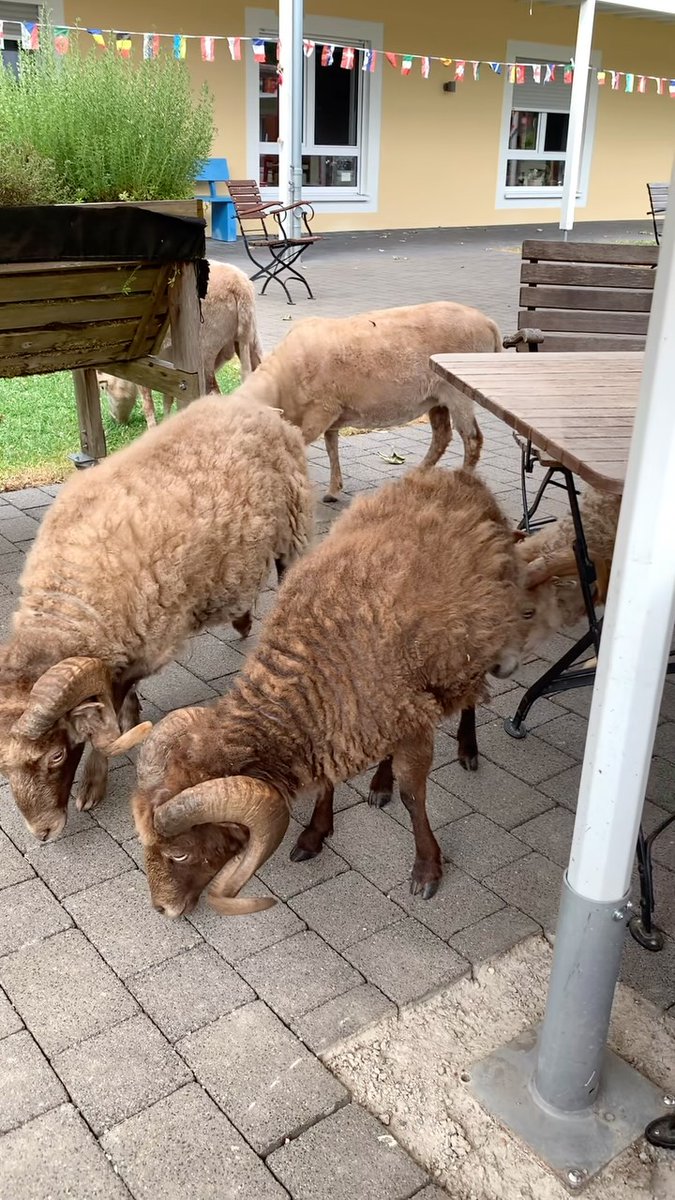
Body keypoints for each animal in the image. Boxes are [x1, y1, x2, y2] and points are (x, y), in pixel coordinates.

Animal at [0, 394, 313, 843]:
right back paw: (241, 621)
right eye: (3, 768)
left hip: (293, 528)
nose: (42, 832)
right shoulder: (125, 644)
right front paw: (131, 717)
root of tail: (256, 407)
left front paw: (93, 785)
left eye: (56, 755)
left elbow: (110, 720)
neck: (69, 604)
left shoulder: (142, 643)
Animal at [97, 262, 263, 427]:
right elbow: (168, 398)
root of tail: (239, 285)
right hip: (250, 339)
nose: (115, 420)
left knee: (214, 393)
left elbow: (148, 402)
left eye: (103, 387)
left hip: (205, 350)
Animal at [132, 466, 553, 919]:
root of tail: (457, 474)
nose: (162, 909)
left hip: (470, 655)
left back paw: (467, 749)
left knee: (470, 699)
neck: (314, 660)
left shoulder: (409, 722)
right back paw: (379, 784)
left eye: (179, 853)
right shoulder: (343, 717)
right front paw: (314, 835)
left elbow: (413, 797)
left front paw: (427, 870)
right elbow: (327, 781)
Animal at [241, 301, 501, 502]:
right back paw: (415, 475)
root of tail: (489, 323)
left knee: (472, 439)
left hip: (459, 394)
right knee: (442, 436)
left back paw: (464, 482)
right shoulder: (332, 410)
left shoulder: (321, 410)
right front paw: (334, 490)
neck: (282, 383)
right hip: (437, 397)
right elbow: (331, 447)